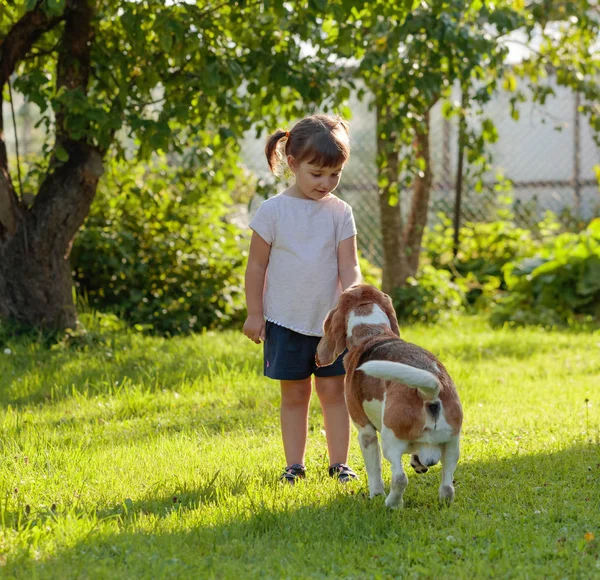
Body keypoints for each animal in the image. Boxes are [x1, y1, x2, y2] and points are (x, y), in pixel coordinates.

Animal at [316, 286, 462, 508]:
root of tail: (430, 392)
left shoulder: (366, 432)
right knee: (447, 487)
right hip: (453, 445)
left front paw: (376, 494)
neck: (372, 331)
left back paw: (392, 503)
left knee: (400, 478)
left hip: (389, 440)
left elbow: (374, 470)